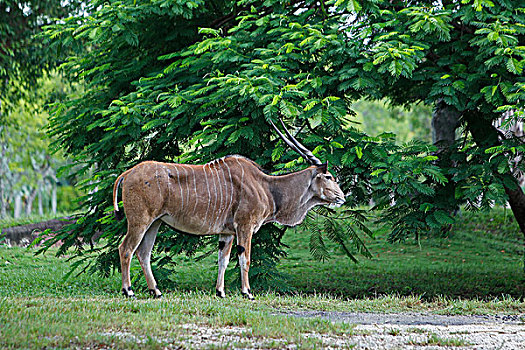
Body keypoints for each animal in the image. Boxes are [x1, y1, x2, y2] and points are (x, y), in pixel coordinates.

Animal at [112, 119, 346, 298]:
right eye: (328, 176)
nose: (342, 197)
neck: (266, 186)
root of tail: (128, 173)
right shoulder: (244, 226)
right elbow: (245, 258)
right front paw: (247, 292)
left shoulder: (227, 233)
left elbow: (222, 260)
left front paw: (220, 292)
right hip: (140, 221)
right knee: (126, 249)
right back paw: (128, 291)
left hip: (155, 223)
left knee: (143, 253)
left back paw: (156, 291)